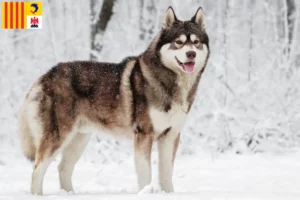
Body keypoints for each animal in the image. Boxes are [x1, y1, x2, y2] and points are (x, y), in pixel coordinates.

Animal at [18, 6, 209, 195]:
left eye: (196, 42)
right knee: (37, 169)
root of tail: (45, 76)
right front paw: (145, 192)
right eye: (179, 42)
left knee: (63, 168)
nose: (191, 54)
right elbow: (146, 175)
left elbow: (166, 174)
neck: (170, 83)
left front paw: (168, 194)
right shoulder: (144, 135)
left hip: (79, 139)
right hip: (58, 137)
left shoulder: (171, 136)